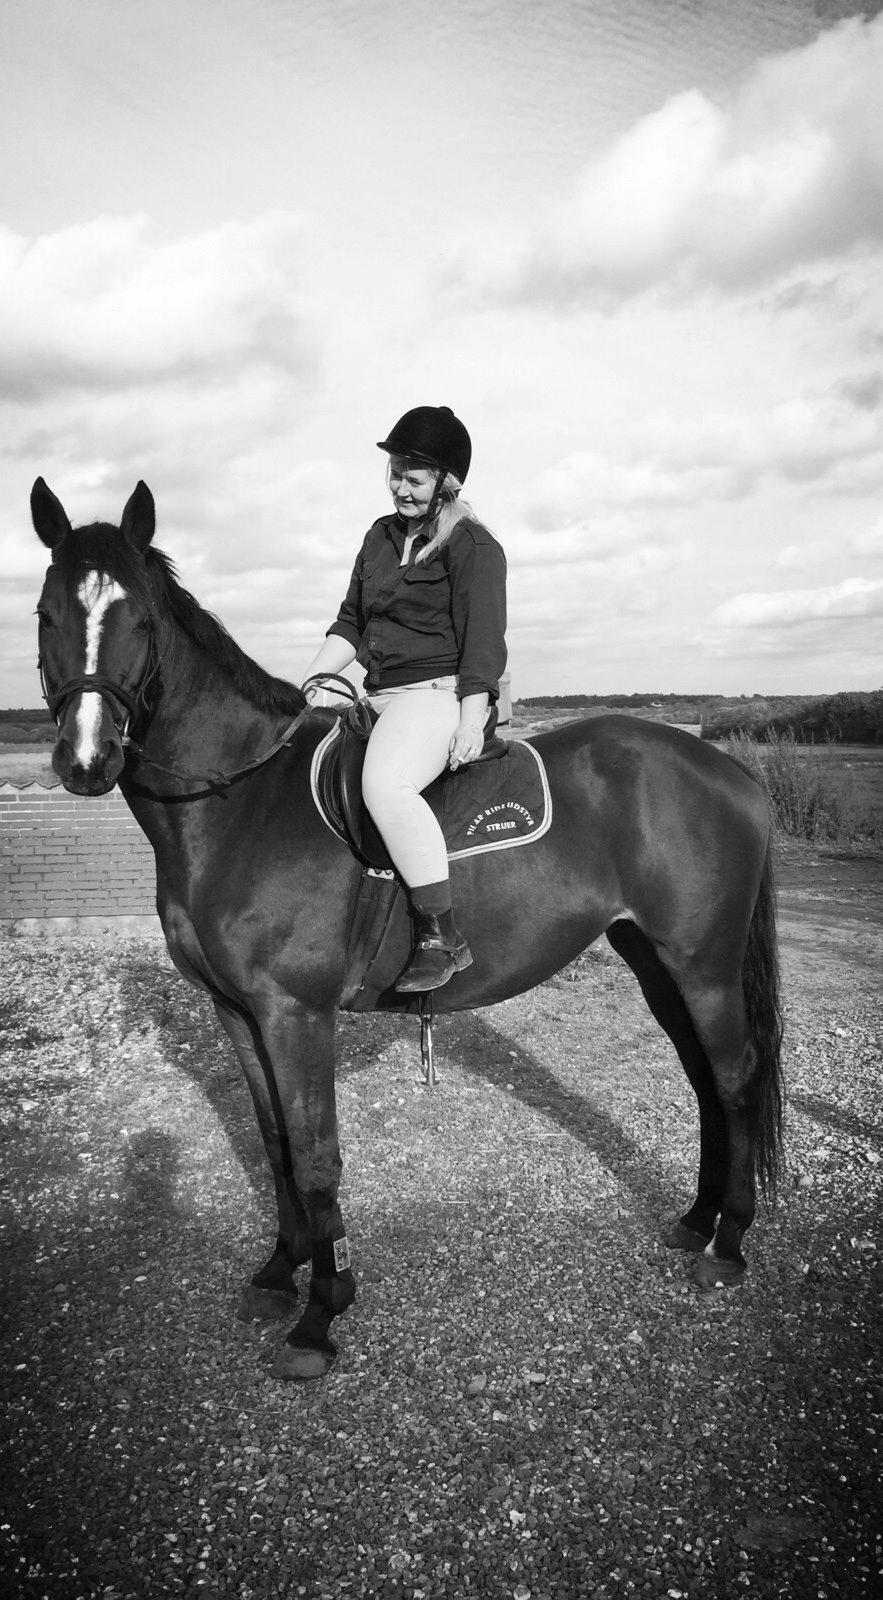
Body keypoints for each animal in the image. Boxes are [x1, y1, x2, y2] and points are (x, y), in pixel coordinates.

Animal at [30, 477, 784, 1380]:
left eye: (140, 620)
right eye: (44, 613)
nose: (86, 760)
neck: (238, 804)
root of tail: (727, 769)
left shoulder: (295, 1014)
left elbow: (315, 1155)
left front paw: (321, 1312)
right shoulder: (235, 1012)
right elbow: (274, 1142)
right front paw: (280, 1271)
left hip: (701, 963)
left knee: (734, 1077)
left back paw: (728, 1245)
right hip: (654, 959)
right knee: (703, 1077)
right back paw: (694, 1221)